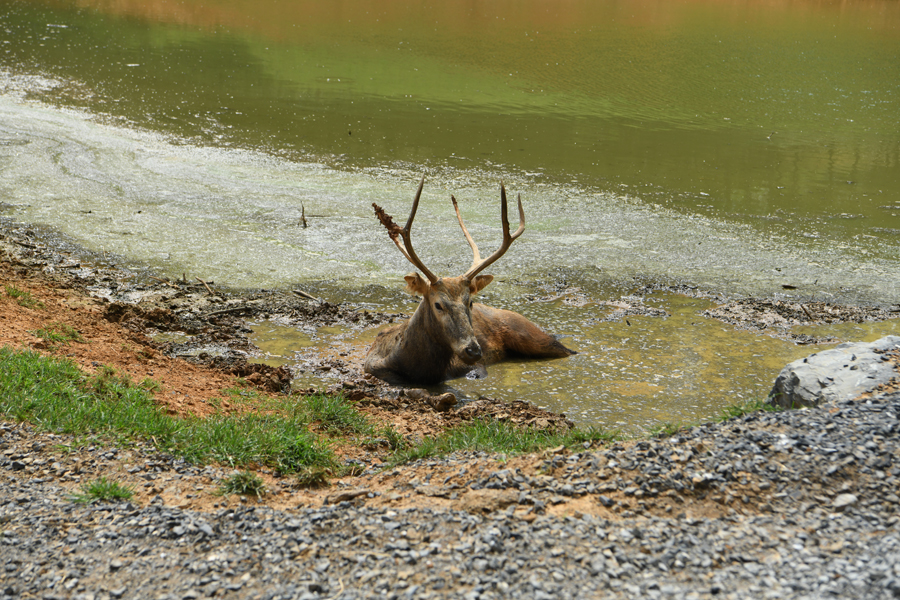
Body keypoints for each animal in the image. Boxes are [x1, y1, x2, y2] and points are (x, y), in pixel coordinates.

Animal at [364, 176, 575, 385]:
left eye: (470, 302)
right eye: (438, 304)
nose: (473, 350)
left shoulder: (474, 366)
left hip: (531, 334)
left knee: (568, 350)